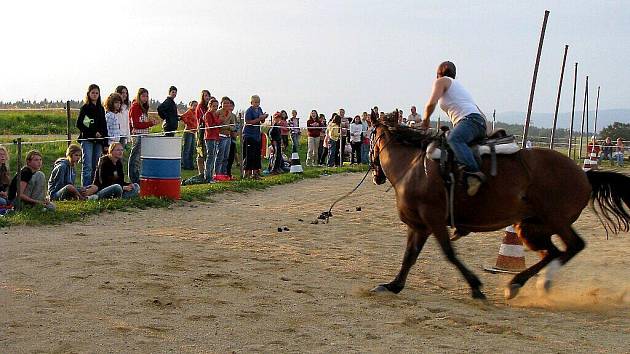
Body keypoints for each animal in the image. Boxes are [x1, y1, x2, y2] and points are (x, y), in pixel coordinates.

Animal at [370, 110, 630, 298]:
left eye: (371, 137)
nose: (376, 176)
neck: (414, 167)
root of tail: (584, 175)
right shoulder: (419, 225)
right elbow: (409, 256)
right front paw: (393, 285)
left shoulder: (433, 220)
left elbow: (449, 253)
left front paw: (475, 286)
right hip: (532, 227)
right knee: (554, 252)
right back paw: (527, 282)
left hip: (555, 221)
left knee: (574, 245)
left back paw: (529, 282)